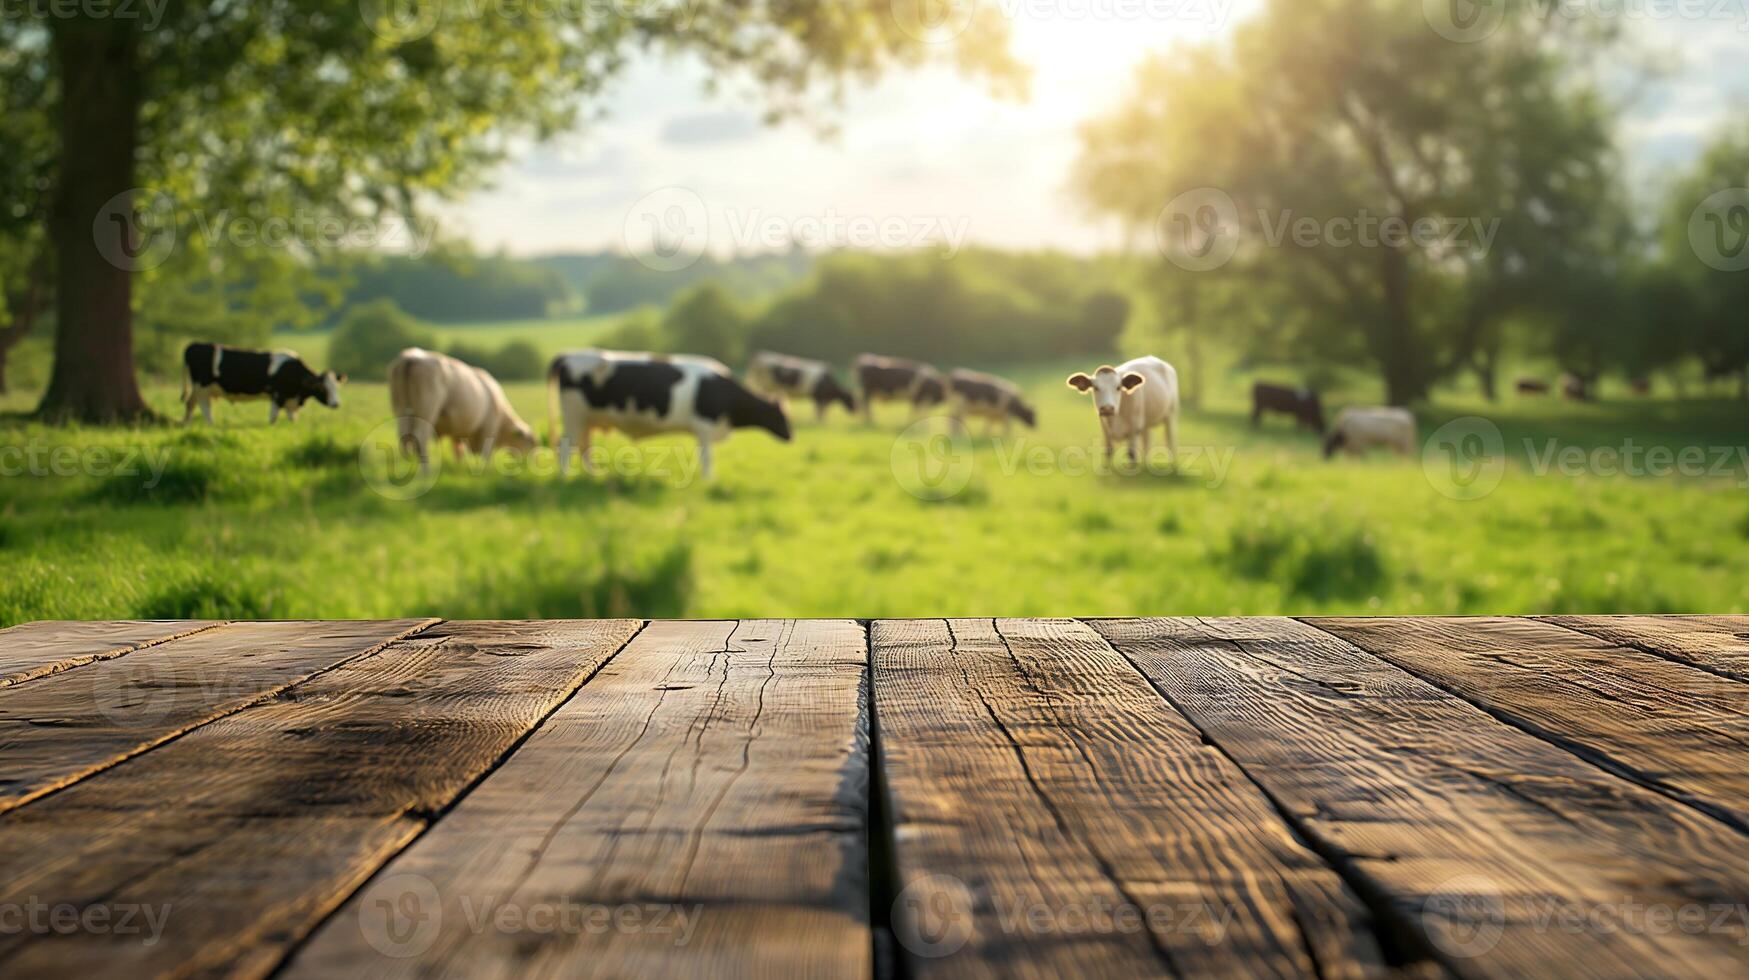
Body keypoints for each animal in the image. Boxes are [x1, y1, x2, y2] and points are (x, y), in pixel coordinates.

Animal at [181, 343, 344, 423]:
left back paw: (186, 425)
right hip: (202, 388)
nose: (336, 404)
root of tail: (194, 345)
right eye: (322, 387)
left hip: (199, 389)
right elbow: (273, 418)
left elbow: (292, 419)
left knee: (190, 404)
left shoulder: (290, 400)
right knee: (204, 407)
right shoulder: (278, 396)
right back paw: (211, 424)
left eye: (336, 386)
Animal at [391, 348, 538, 476]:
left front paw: (458, 469)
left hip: (400, 407)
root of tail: (411, 357)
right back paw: (426, 471)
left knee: (404, 438)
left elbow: (458, 451)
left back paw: (408, 468)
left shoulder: (457, 431)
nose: (531, 466)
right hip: (427, 408)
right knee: (420, 437)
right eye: (531, 443)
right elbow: (486, 452)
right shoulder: (489, 427)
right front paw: (484, 470)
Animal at [545, 350, 794, 479]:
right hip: (574, 416)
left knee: (584, 447)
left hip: (587, 419)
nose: (792, 437)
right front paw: (709, 482)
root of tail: (570, 354)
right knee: (566, 446)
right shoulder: (704, 427)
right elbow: (707, 458)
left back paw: (595, 475)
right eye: (781, 417)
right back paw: (565, 477)